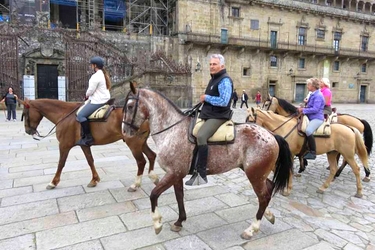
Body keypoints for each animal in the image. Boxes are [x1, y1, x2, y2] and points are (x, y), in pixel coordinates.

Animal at [18, 98, 157, 190]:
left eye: (25, 114)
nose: (28, 131)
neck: (64, 114)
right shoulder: (84, 145)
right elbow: (90, 161)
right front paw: (94, 179)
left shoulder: (64, 145)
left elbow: (61, 163)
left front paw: (53, 182)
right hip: (141, 143)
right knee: (152, 155)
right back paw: (153, 177)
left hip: (134, 144)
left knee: (141, 161)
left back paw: (136, 184)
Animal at [122, 82, 296, 238]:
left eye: (130, 106)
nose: (124, 131)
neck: (173, 130)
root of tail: (272, 135)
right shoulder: (177, 174)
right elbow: (179, 196)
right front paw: (179, 221)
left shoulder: (173, 173)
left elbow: (154, 195)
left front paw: (157, 223)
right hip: (257, 173)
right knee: (269, 189)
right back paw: (268, 215)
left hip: (255, 175)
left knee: (263, 196)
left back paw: (252, 229)